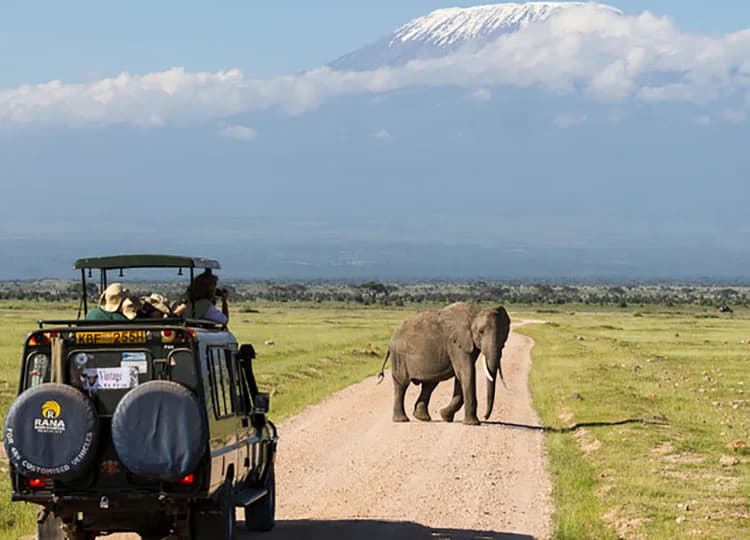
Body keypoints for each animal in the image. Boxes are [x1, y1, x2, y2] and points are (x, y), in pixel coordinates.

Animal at [376, 303, 511, 425]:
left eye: (504, 334)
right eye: (481, 332)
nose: (485, 417)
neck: (475, 312)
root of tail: (391, 339)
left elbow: (461, 376)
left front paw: (445, 416)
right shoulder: (456, 343)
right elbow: (466, 373)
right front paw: (472, 423)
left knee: (429, 384)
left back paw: (422, 418)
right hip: (399, 356)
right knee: (402, 384)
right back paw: (402, 420)